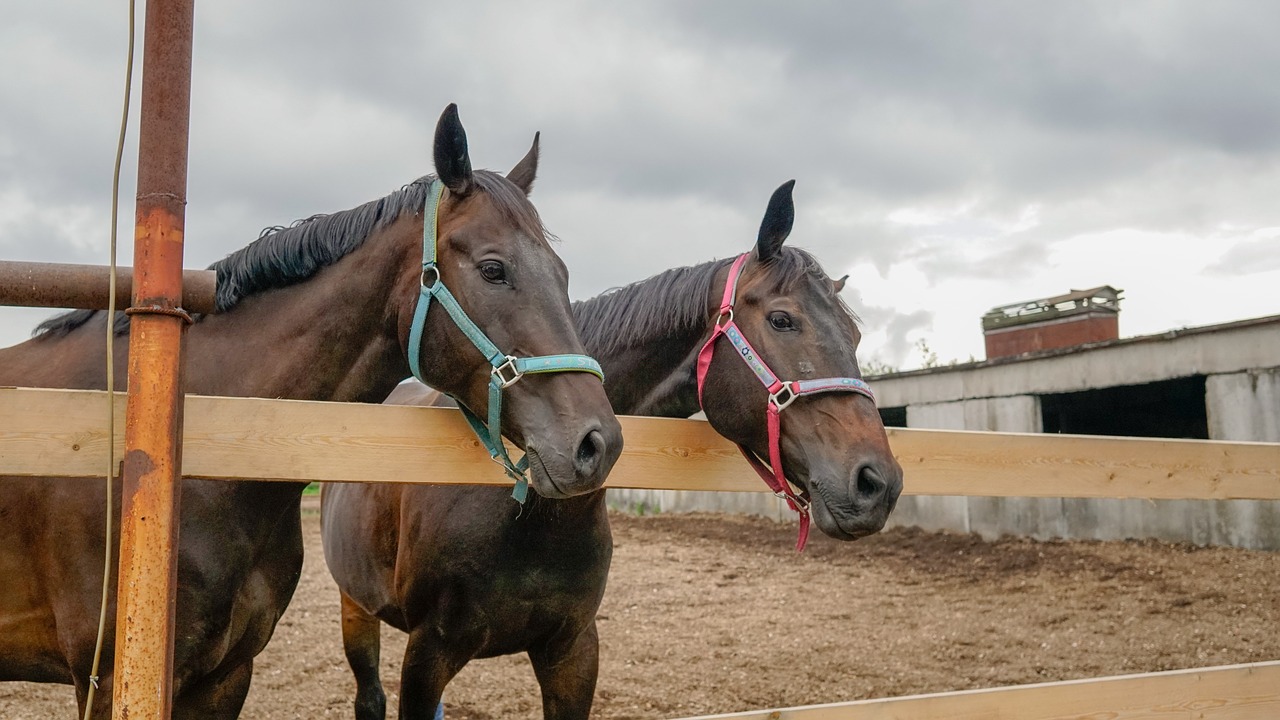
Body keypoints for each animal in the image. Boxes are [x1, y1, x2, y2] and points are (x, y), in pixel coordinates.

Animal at [320, 180, 901, 717]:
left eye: (854, 335)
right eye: (783, 319)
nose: (878, 483)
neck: (521, 509)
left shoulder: (573, 652)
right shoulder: (428, 655)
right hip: (356, 606)